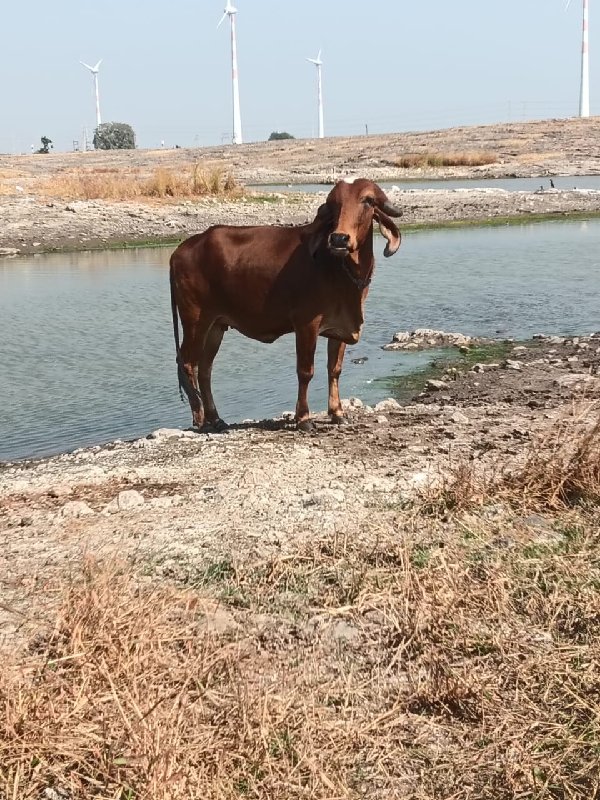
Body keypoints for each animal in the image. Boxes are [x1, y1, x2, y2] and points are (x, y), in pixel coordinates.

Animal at [169, 177, 404, 432]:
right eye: (334, 204)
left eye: (368, 201)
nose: (339, 239)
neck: (342, 271)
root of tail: (182, 249)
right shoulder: (306, 324)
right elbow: (305, 371)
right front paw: (303, 418)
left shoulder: (339, 327)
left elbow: (335, 369)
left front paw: (337, 413)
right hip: (195, 320)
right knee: (188, 363)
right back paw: (200, 419)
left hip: (216, 326)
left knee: (205, 369)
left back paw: (215, 418)